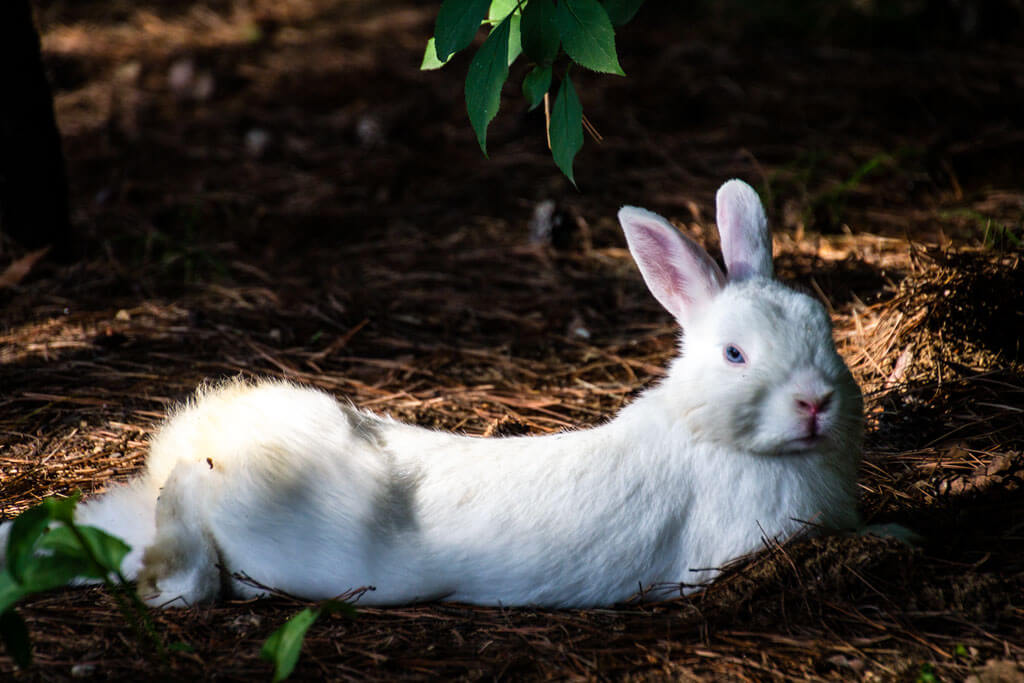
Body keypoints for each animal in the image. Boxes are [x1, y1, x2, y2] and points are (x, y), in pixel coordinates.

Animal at [0, 179, 864, 606]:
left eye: (823, 326)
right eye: (735, 353)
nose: (816, 402)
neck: (706, 432)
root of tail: (202, 429)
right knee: (186, 531)